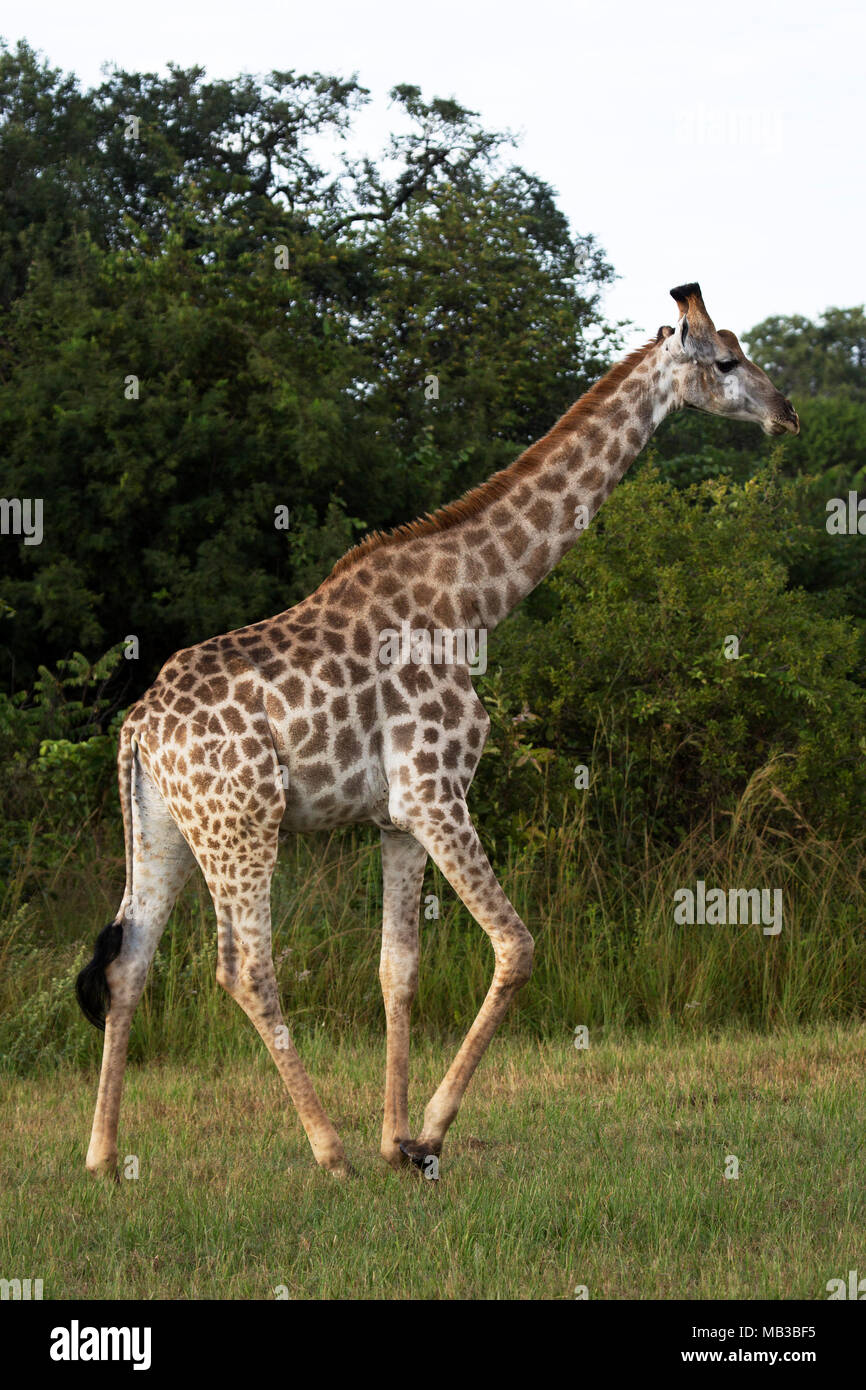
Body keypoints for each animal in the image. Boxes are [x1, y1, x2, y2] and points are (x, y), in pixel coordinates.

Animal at [79, 287, 800, 1178]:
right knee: (245, 968)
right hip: (242, 822)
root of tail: (139, 727)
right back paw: (327, 1150)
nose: (787, 412)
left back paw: (103, 1156)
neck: (475, 601)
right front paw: (424, 1132)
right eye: (726, 361)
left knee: (130, 961)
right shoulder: (436, 792)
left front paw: (396, 1138)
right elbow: (517, 946)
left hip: (164, 828)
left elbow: (399, 970)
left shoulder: (397, 817)